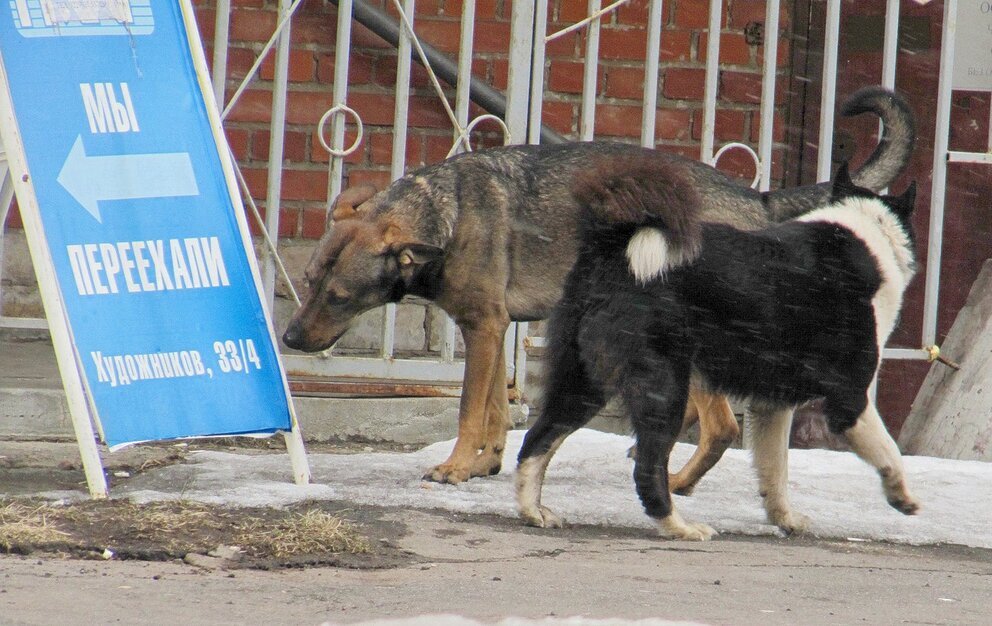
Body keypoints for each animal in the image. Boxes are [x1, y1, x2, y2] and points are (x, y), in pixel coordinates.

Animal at [520, 158, 924, 540]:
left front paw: (785, 520)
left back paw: (532, 511)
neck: (869, 231)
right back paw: (679, 527)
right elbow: (889, 452)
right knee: (648, 469)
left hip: (584, 382)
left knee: (538, 440)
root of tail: (615, 246)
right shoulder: (850, 398)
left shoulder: (772, 406)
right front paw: (902, 496)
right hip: (665, 390)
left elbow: (775, 472)